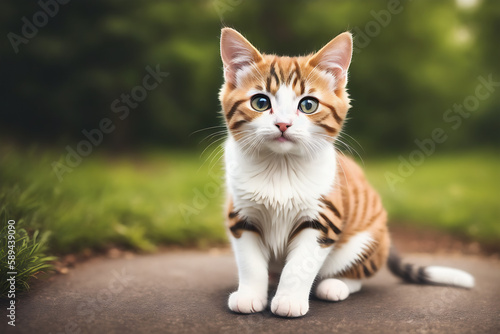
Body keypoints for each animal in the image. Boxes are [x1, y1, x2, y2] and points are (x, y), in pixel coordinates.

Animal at [217, 27, 474, 318]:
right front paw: (250, 295)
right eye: (260, 102)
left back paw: (335, 285)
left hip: (367, 239)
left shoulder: (324, 219)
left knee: (357, 275)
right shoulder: (240, 215)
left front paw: (289, 300)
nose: (283, 124)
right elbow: (250, 263)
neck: (280, 167)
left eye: (308, 105)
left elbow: (299, 265)